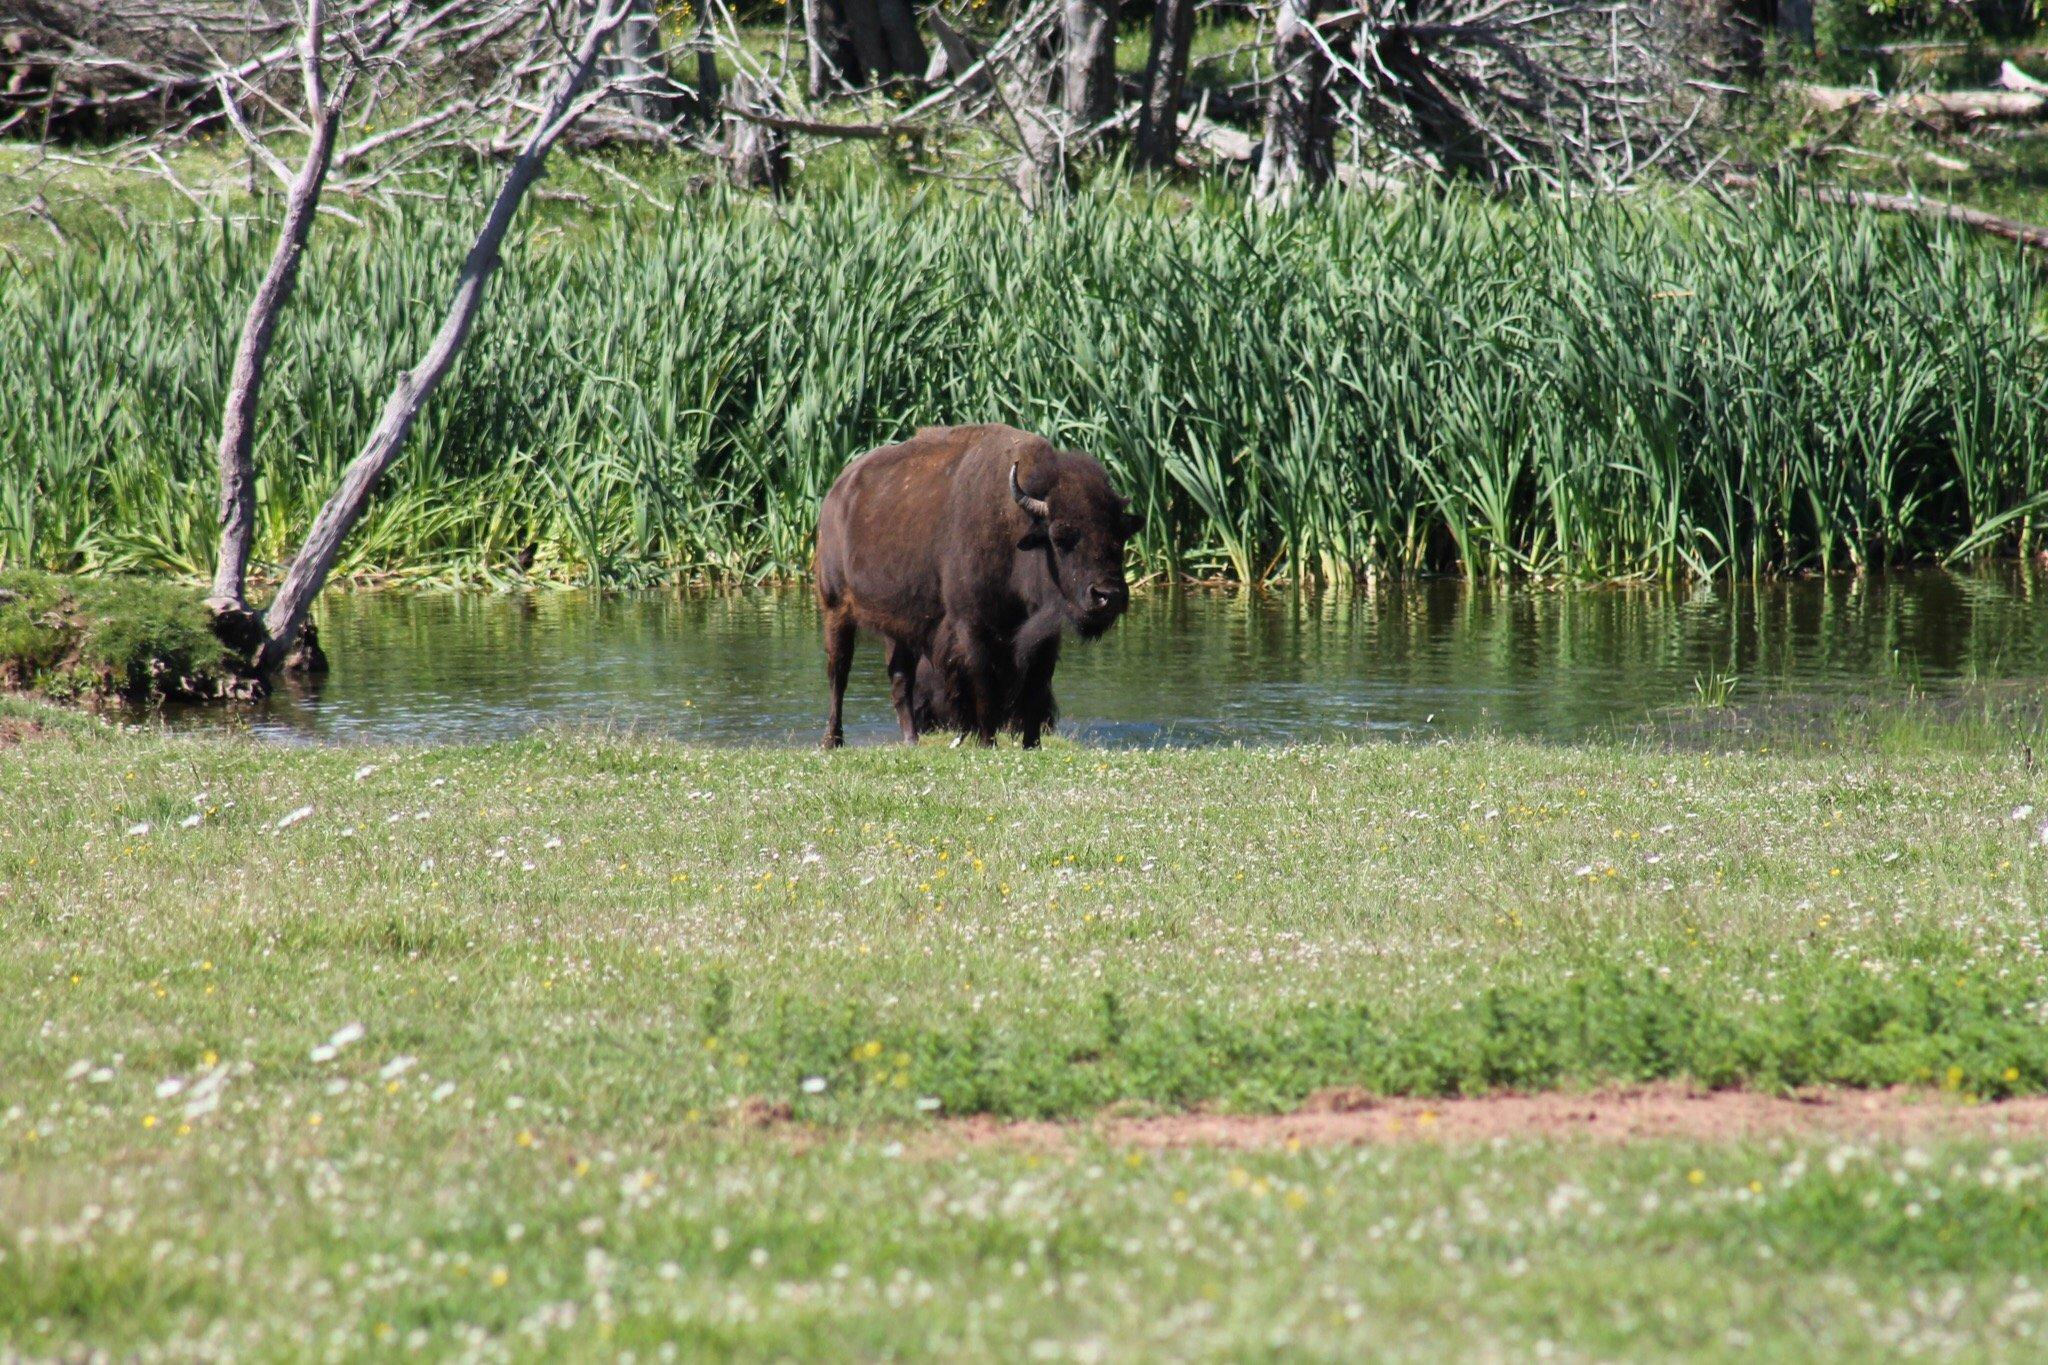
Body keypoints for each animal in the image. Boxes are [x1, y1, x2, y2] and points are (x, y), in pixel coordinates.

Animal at [811, 423, 1138, 753]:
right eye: (1060, 536)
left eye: (1121, 534)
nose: (1108, 596)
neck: (1015, 528)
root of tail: (837, 492)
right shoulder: (972, 628)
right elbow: (984, 684)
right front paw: (987, 742)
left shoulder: (1044, 636)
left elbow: (1035, 686)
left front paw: (1032, 744)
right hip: (836, 609)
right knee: (838, 672)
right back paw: (832, 740)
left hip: (900, 625)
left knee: (900, 677)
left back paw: (911, 740)